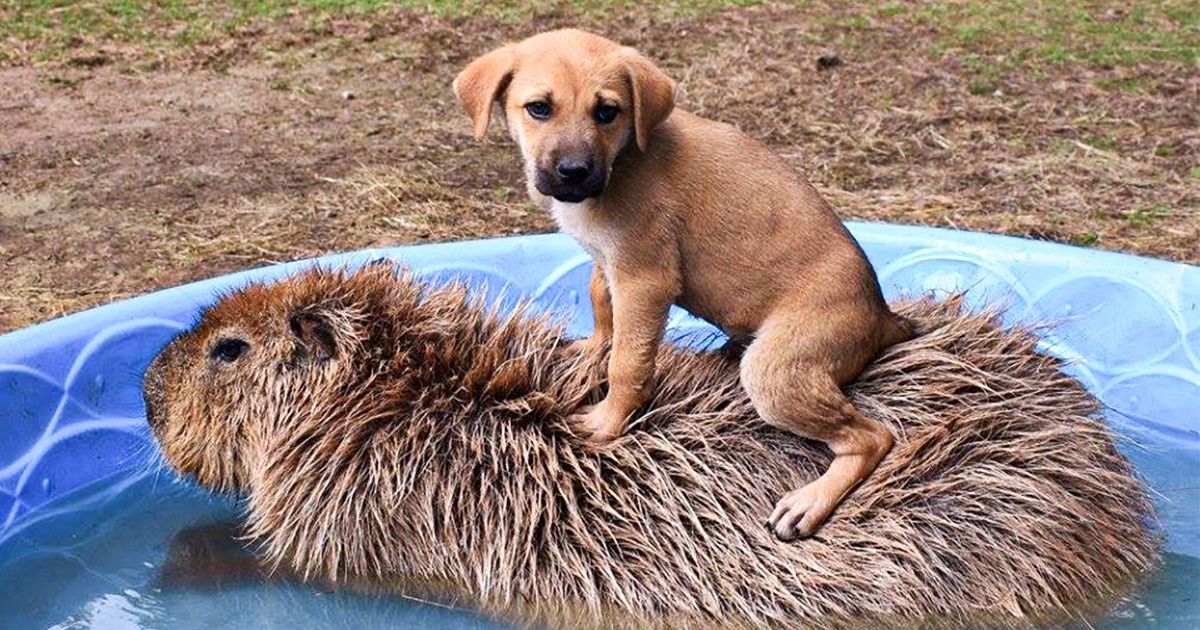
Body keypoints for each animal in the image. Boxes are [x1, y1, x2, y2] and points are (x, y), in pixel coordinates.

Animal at [453, 29, 912, 540]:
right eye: (538, 108)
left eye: (607, 112)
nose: (573, 173)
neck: (623, 160)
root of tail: (883, 316)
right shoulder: (609, 264)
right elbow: (601, 307)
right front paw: (592, 349)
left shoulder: (645, 280)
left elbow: (628, 363)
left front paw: (607, 421)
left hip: (775, 372)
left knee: (873, 437)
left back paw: (809, 502)